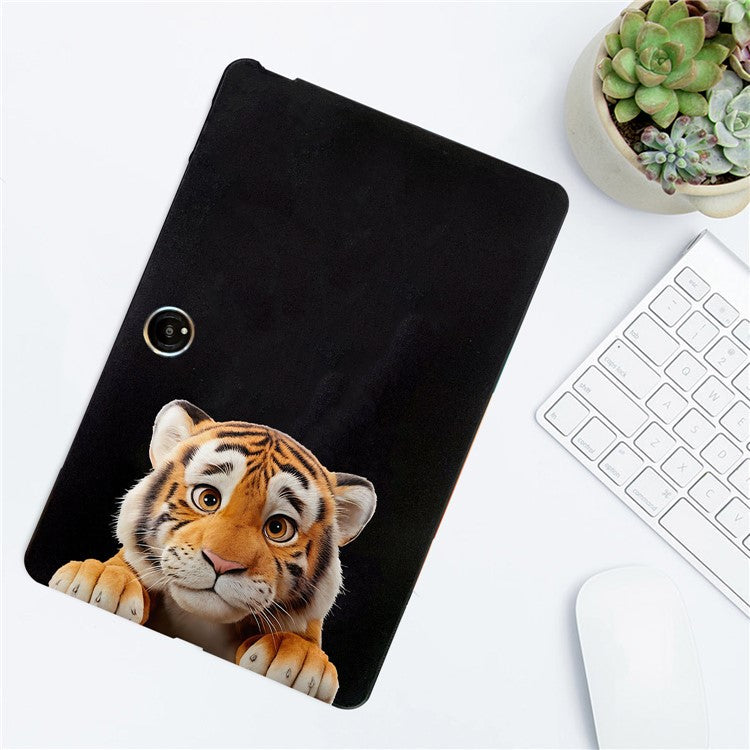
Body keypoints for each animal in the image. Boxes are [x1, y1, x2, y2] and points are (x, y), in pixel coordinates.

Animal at [48, 399, 376, 704]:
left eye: (278, 528)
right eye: (208, 498)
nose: (222, 563)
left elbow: (304, 634)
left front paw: (299, 656)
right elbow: (123, 565)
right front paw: (98, 580)